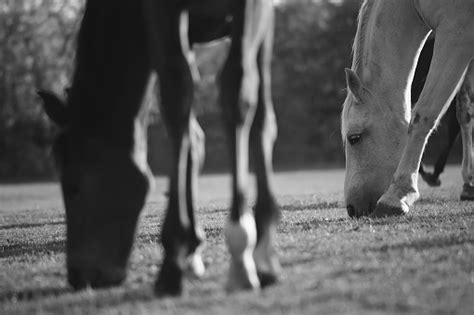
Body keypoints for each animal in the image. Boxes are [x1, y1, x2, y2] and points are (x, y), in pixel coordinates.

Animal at [39, 0, 282, 296]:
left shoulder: (255, 8)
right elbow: (181, 110)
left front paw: (243, 255)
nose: (79, 276)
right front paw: (179, 255)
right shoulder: (162, 16)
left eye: (73, 188)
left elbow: (238, 93)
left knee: (256, 108)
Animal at [340, 0, 474, 218]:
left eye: (354, 138)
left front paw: (397, 195)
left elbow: (425, 113)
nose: (351, 209)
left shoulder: (456, 34)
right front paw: (469, 182)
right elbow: (466, 112)